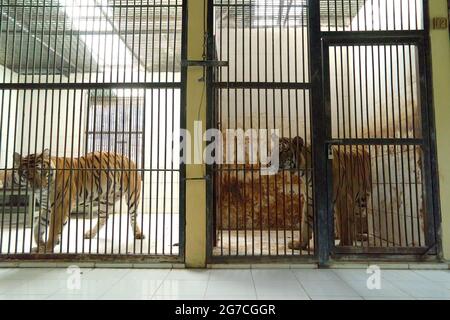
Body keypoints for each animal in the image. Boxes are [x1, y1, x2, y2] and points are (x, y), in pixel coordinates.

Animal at [13, 150, 144, 252]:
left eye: (41, 171)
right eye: (26, 174)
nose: (38, 187)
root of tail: (128, 158)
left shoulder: (60, 204)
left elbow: (53, 229)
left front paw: (47, 247)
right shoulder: (47, 207)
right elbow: (38, 227)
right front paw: (40, 244)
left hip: (132, 196)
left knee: (133, 216)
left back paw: (138, 234)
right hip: (107, 200)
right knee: (103, 217)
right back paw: (90, 234)